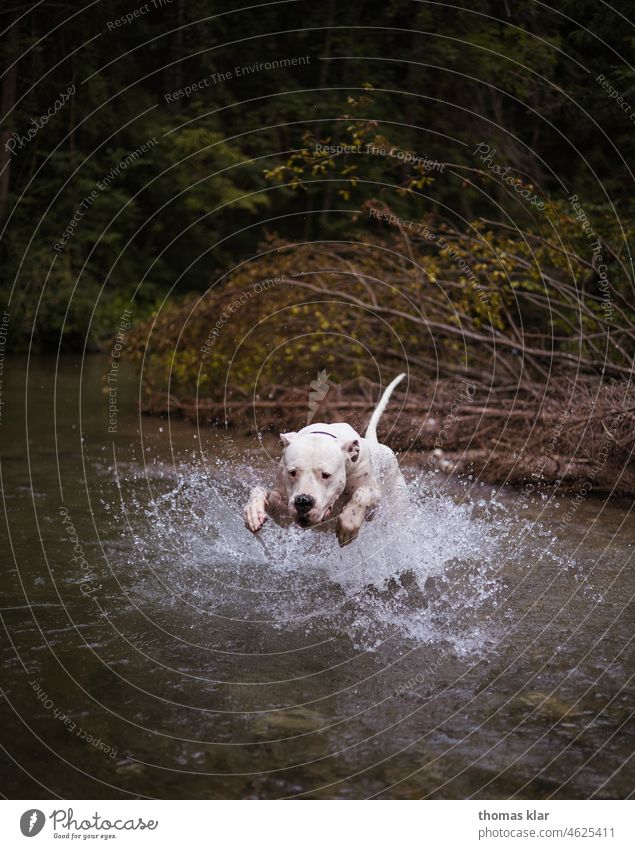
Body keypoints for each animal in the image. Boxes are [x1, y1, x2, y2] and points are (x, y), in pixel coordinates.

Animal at [243, 374, 408, 548]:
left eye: (326, 475)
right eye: (292, 472)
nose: (303, 501)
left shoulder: (373, 501)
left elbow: (362, 494)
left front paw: (348, 523)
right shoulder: (284, 513)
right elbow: (261, 490)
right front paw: (253, 511)